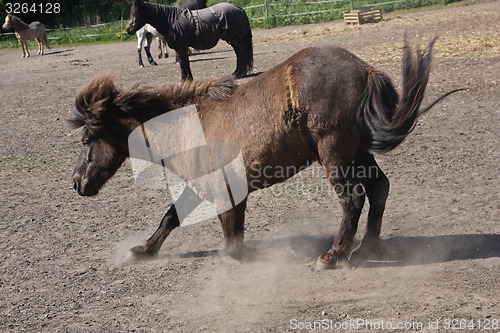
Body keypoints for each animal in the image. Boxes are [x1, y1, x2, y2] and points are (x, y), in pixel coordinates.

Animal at [70, 41, 460, 270]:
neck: (188, 127)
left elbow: (232, 244)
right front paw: (143, 250)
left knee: (353, 199)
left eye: (88, 138)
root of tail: (365, 70)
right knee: (379, 190)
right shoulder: (201, 188)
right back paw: (365, 250)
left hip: (335, 155)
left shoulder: (226, 193)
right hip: (359, 154)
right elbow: (170, 218)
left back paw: (332, 256)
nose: (77, 183)